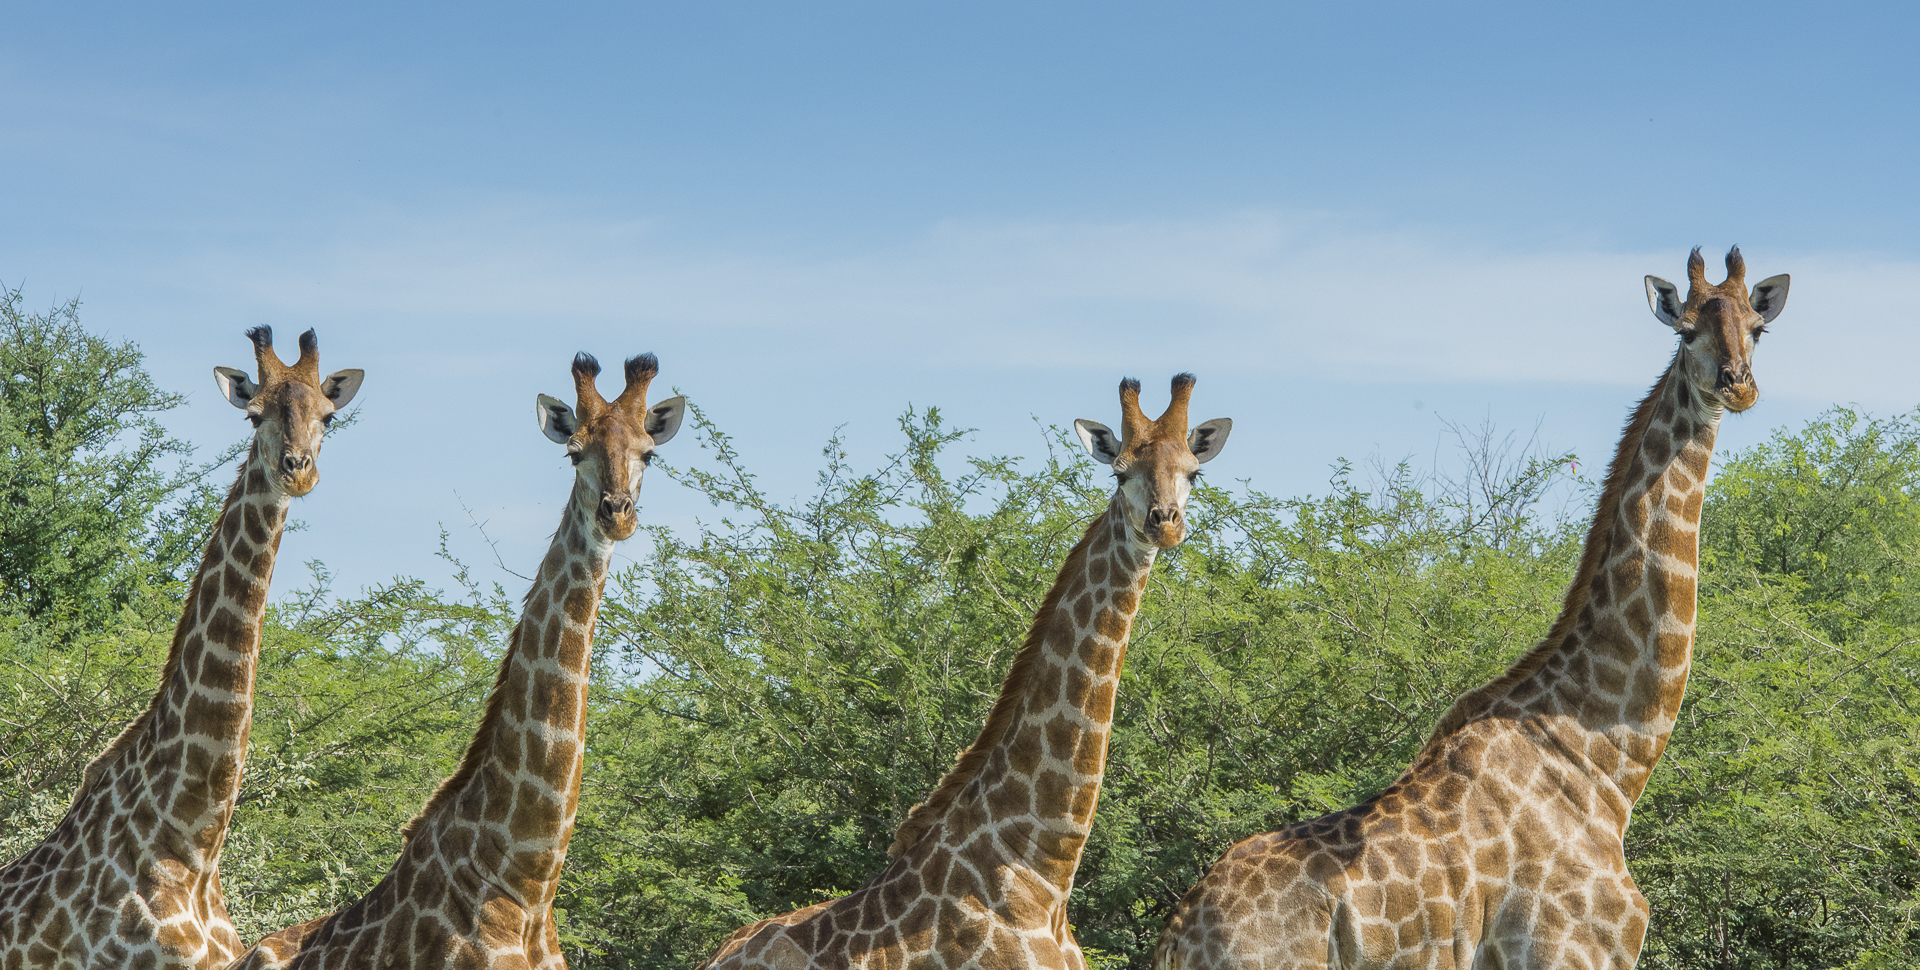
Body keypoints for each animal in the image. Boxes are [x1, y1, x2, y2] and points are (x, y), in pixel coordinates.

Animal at [1151, 248, 1791, 970]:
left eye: (1759, 330)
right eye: (1685, 332)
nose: (1738, 386)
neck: (1607, 762)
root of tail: (1178, 935)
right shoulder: (1565, 951)